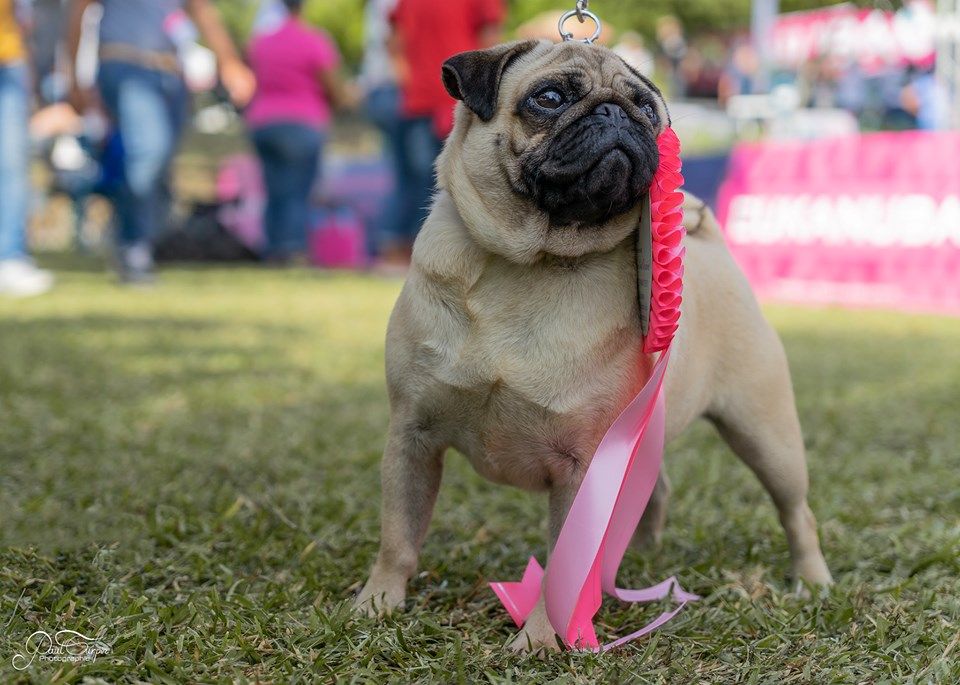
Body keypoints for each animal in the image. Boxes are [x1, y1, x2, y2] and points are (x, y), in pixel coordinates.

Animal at [352, 40, 832, 648]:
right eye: (549, 98)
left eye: (647, 109)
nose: (617, 114)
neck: (528, 265)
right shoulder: (412, 438)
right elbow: (399, 536)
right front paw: (378, 605)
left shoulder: (582, 468)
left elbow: (564, 564)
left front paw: (539, 640)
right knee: (655, 491)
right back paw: (637, 558)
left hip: (766, 435)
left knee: (797, 512)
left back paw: (812, 580)